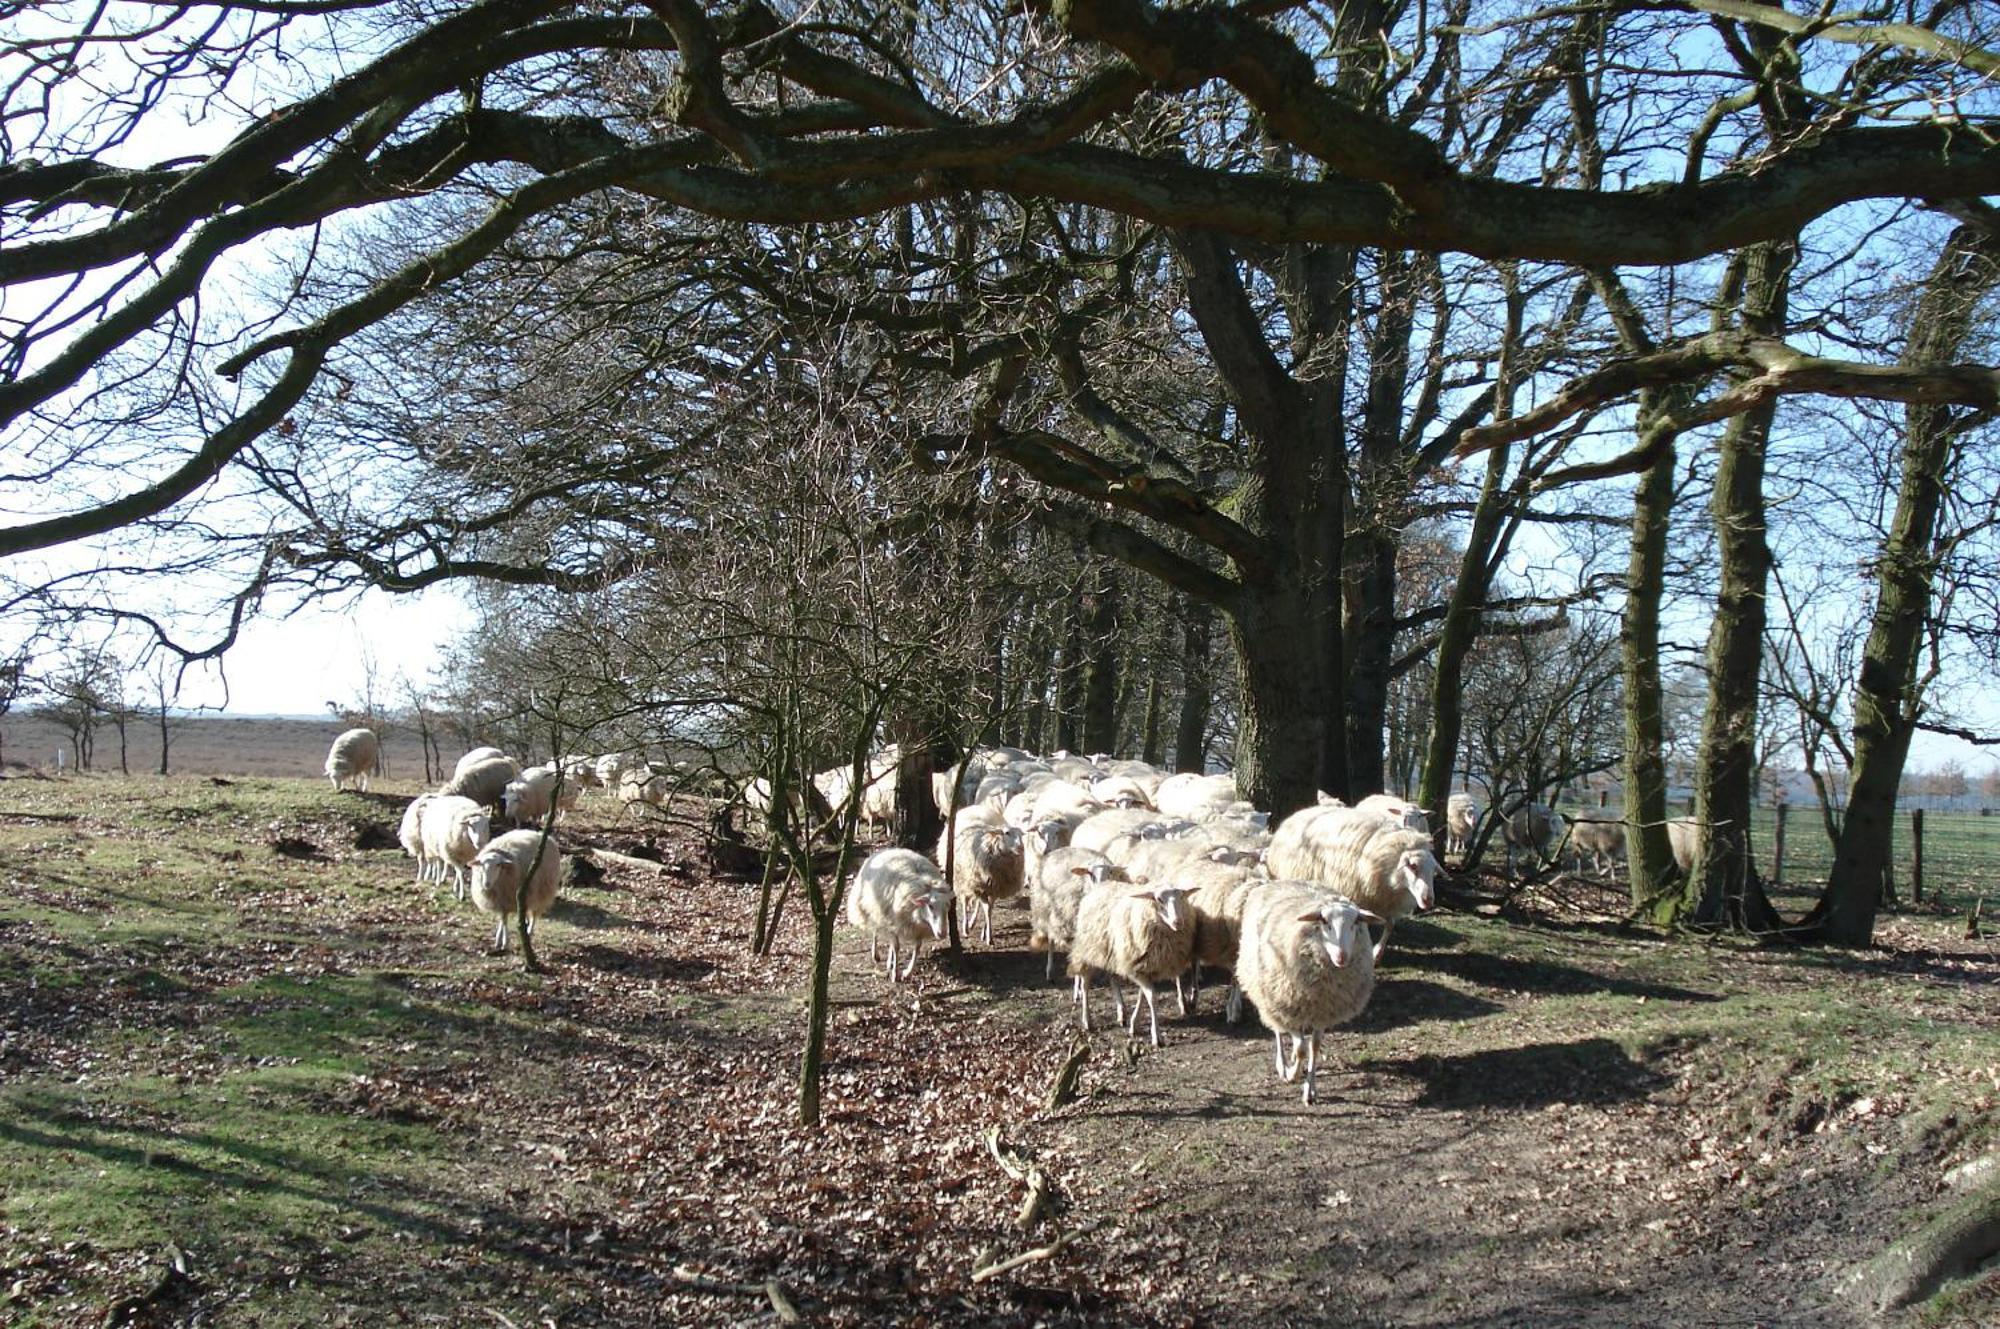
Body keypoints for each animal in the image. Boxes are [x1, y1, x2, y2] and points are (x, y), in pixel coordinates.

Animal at [844, 844, 952, 980]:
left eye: (948, 906)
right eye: (930, 906)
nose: (942, 933)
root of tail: (887, 849)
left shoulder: (917, 928)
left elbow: (917, 948)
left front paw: (908, 971)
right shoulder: (893, 919)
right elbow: (897, 947)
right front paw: (895, 974)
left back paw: (889, 962)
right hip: (874, 908)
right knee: (875, 930)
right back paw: (876, 955)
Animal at [1072, 880, 1192, 1048]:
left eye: (1181, 897)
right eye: (1159, 899)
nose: (1178, 922)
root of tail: (1102, 885)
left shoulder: (1144, 966)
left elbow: (1143, 994)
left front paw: (1134, 1023)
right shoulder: (1135, 966)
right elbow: (1151, 997)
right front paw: (1156, 1036)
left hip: (1112, 954)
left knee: (1113, 979)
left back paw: (1121, 1012)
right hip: (1089, 952)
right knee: (1085, 985)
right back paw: (1087, 1021)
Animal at [1224, 876, 1384, 1104]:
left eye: (1355, 923)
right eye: (1325, 923)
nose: (1342, 957)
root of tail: (1271, 882)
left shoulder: (1323, 1011)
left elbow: (1313, 1047)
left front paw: (1311, 1089)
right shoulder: (1289, 1006)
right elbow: (1301, 1048)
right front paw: (1292, 1073)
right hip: (1271, 995)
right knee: (1278, 1030)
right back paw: (1283, 1065)